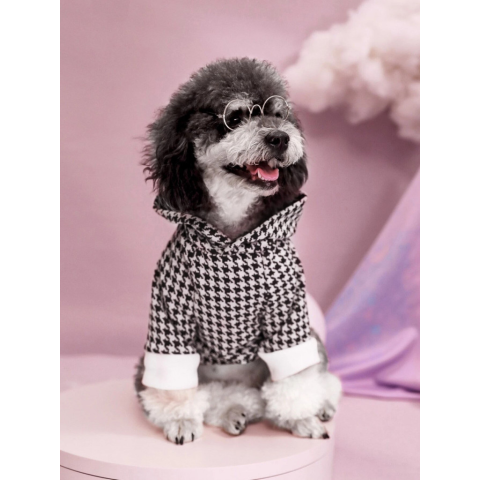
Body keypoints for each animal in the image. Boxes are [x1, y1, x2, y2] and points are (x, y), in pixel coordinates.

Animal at [134, 58, 341, 445]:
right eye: (235, 116)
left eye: (279, 114)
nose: (279, 137)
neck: (232, 238)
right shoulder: (170, 314)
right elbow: (175, 388)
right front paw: (181, 420)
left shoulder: (287, 313)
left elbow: (295, 378)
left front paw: (302, 418)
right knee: (220, 396)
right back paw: (234, 411)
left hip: (311, 341)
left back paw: (319, 404)